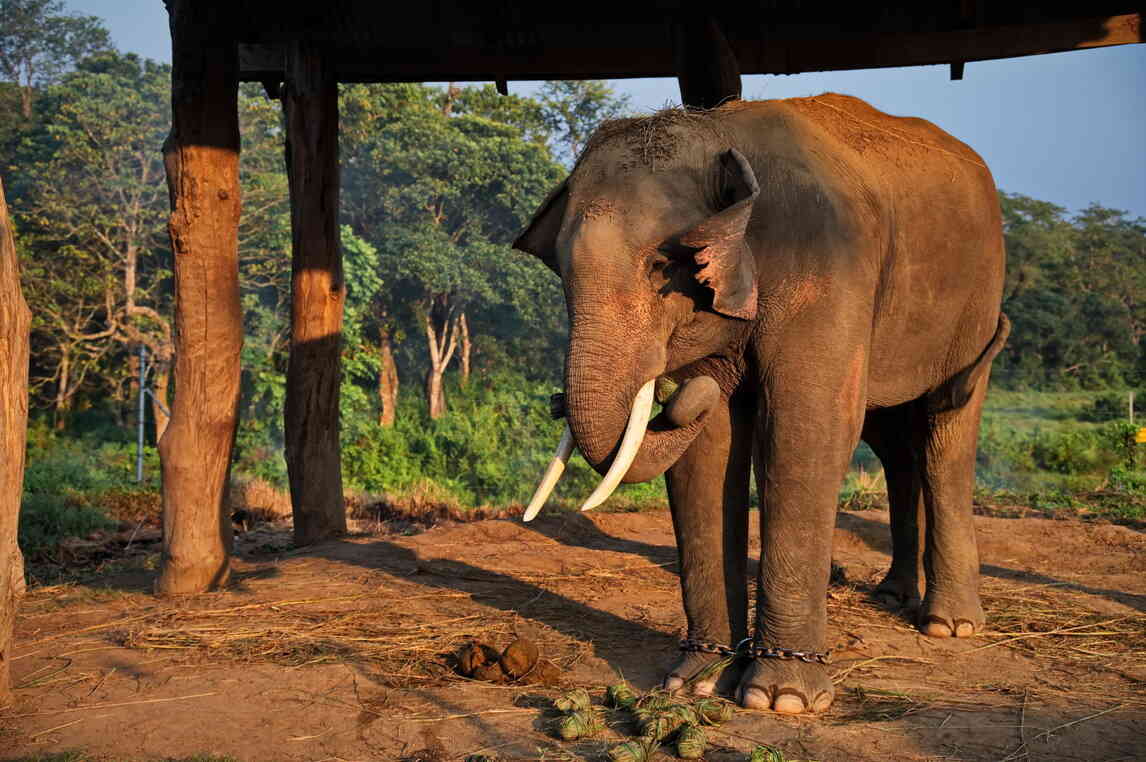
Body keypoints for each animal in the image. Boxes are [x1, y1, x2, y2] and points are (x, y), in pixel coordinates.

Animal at [515, 93, 1008, 715]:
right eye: (561, 271)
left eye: (660, 266)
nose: (679, 393)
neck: (717, 130)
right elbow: (709, 451)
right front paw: (695, 682)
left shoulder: (827, 265)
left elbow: (804, 430)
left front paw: (781, 700)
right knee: (894, 443)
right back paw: (894, 597)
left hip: (977, 298)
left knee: (945, 431)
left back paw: (949, 625)